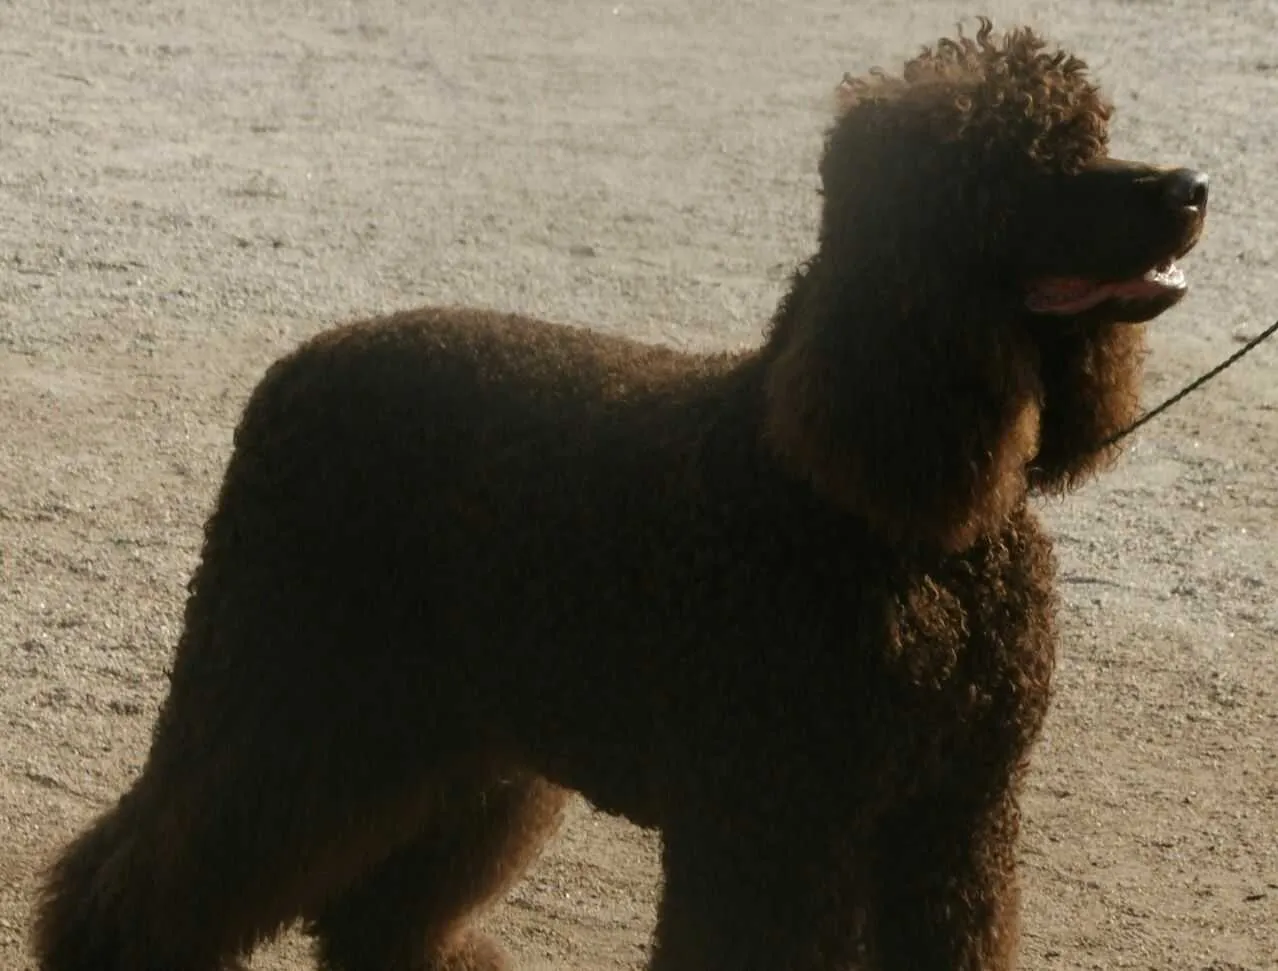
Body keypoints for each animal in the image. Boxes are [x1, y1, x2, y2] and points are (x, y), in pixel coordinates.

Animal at [32, 17, 1206, 970]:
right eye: (1035, 160)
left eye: (1096, 131)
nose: (1192, 187)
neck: (885, 521)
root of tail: (294, 366)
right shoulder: (776, 824)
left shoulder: (955, 822)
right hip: (299, 689)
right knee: (154, 872)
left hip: (461, 736)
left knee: (379, 907)